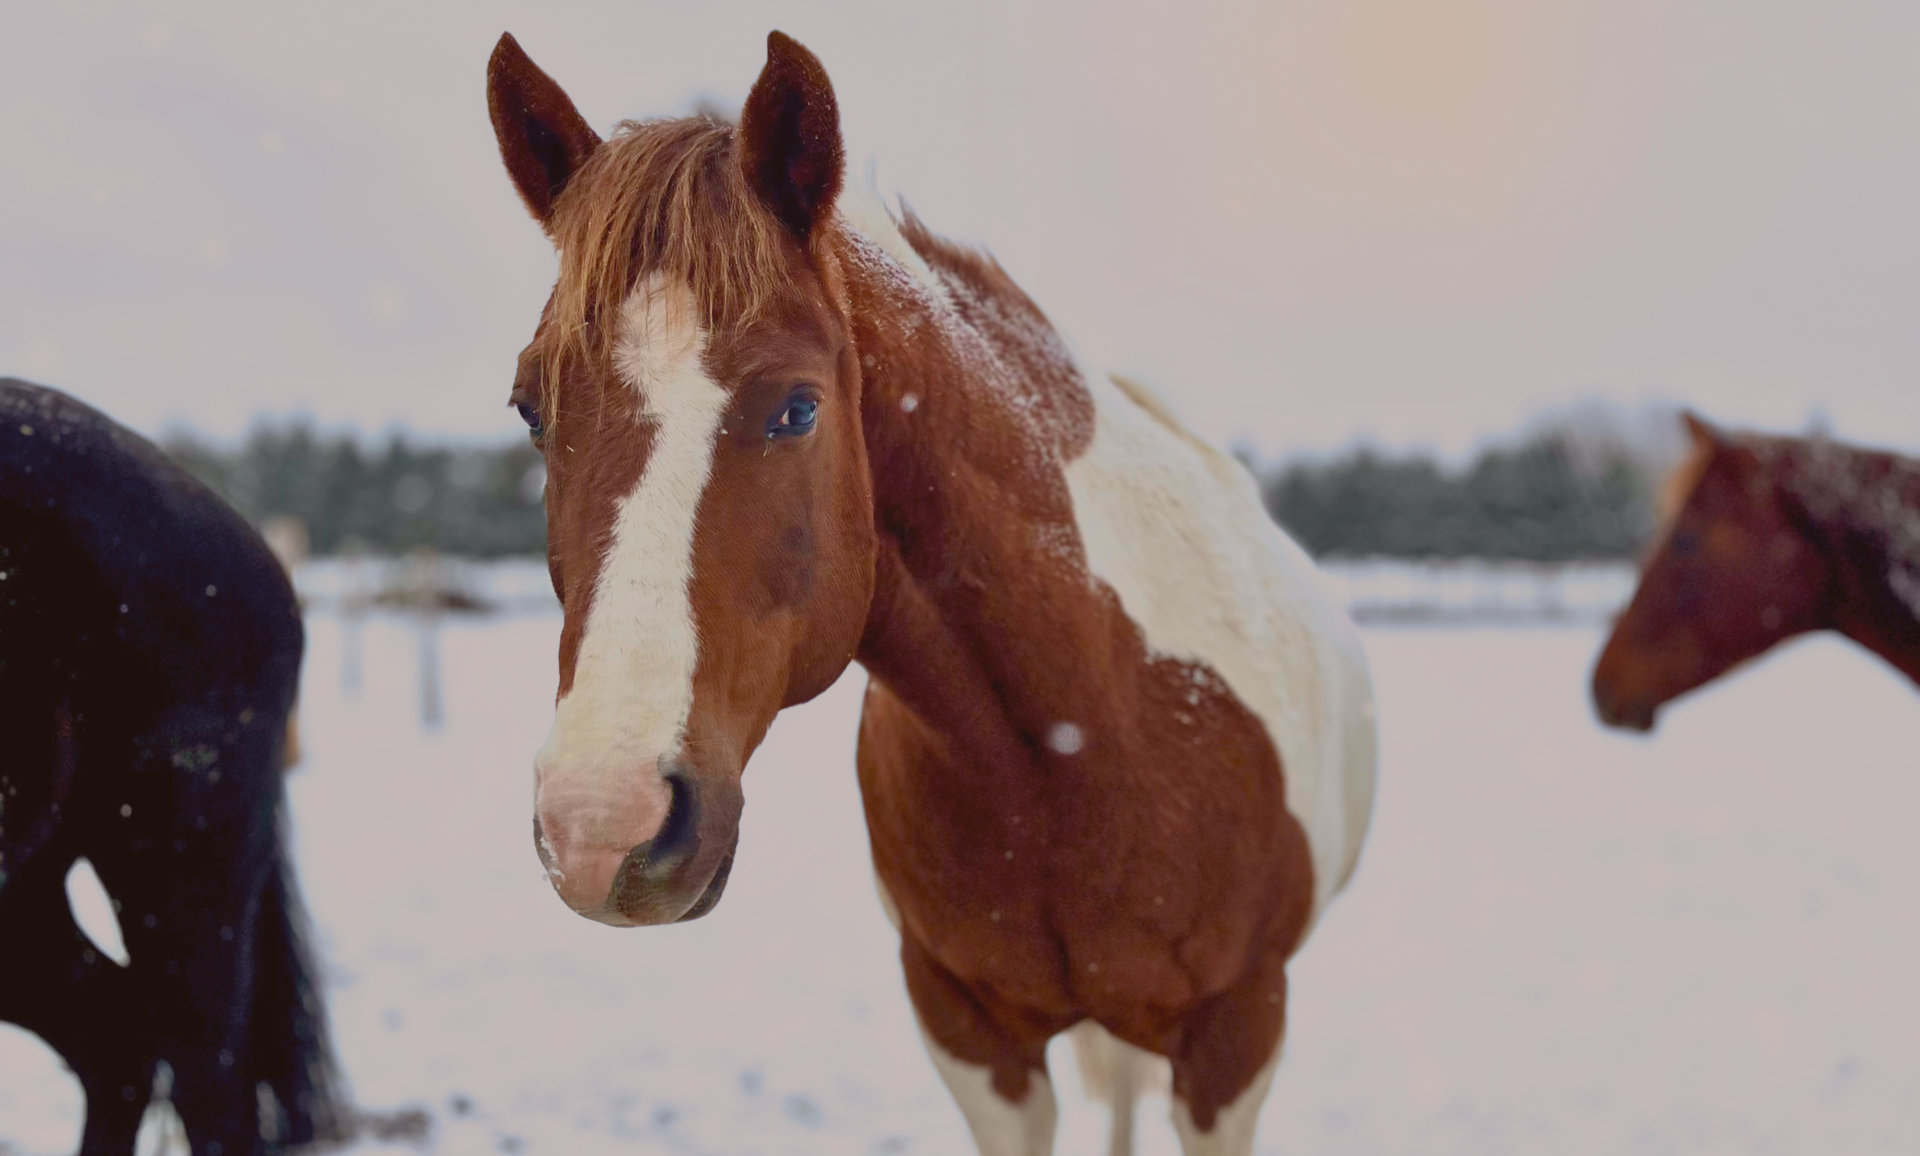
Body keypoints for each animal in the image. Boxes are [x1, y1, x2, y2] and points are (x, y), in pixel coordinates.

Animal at [485, 32, 1377, 1155]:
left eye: (797, 407)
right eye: (529, 407)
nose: (601, 823)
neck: (1088, 731)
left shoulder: (1236, 1040)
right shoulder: (968, 1035)